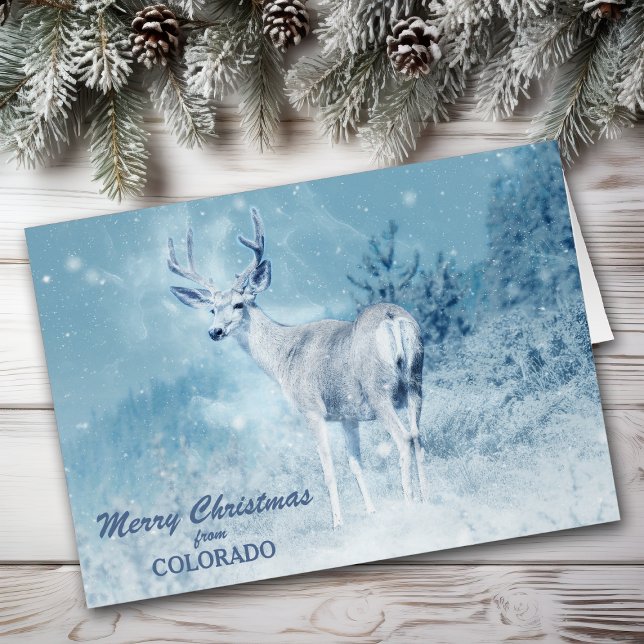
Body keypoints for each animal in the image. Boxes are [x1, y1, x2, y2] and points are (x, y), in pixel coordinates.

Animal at [167, 209, 428, 528]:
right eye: (212, 309)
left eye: (239, 304)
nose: (214, 331)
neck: (284, 358)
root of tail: (392, 318)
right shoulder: (347, 415)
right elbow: (355, 463)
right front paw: (371, 512)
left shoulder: (311, 409)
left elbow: (328, 470)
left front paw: (337, 523)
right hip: (416, 380)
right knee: (419, 436)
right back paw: (428, 499)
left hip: (378, 390)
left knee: (404, 438)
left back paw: (409, 505)